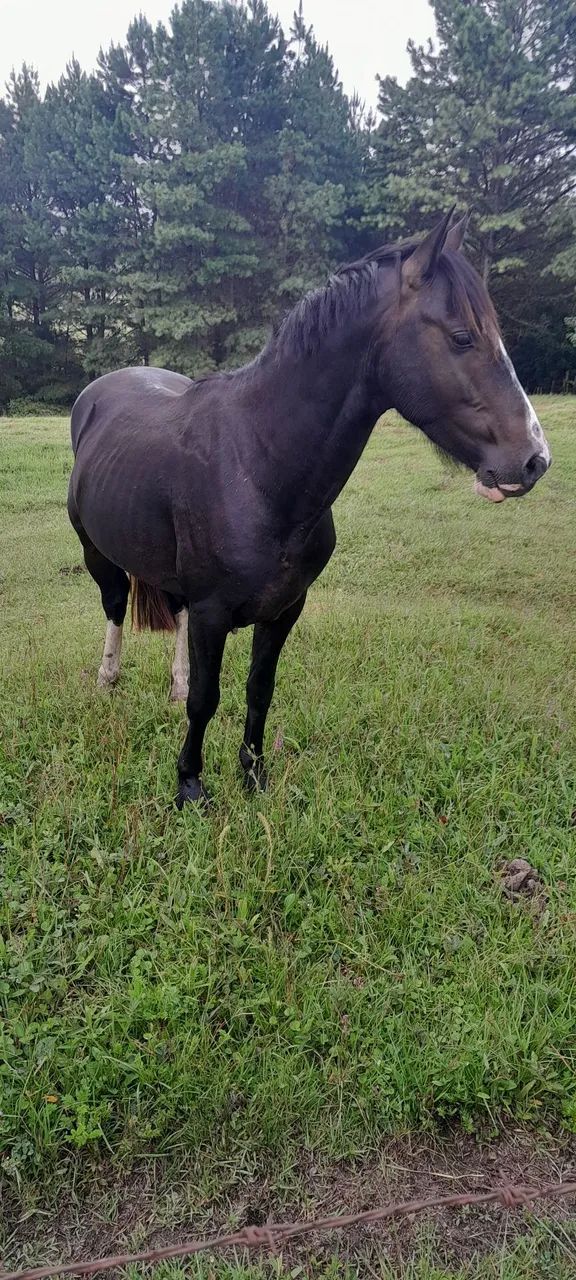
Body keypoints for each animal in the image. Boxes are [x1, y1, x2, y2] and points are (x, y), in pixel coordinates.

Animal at [68, 210, 551, 807]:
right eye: (462, 337)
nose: (534, 460)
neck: (255, 463)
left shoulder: (284, 609)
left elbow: (259, 690)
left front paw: (253, 775)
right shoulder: (212, 613)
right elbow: (207, 699)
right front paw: (190, 785)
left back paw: (172, 682)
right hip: (96, 553)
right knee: (114, 605)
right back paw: (108, 679)